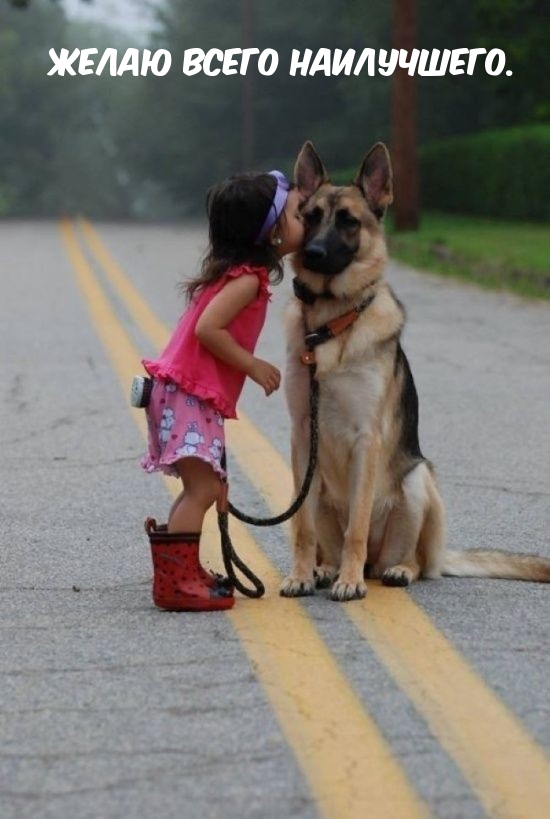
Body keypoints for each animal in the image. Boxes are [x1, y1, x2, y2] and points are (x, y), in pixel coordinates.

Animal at [282, 143, 550, 604]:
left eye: (349, 221)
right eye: (311, 216)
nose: (312, 253)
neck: (332, 322)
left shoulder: (366, 438)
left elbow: (356, 525)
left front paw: (349, 583)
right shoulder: (302, 435)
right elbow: (302, 527)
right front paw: (301, 574)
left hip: (418, 481)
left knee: (414, 561)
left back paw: (389, 571)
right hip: (322, 490)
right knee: (325, 540)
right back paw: (324, 568)